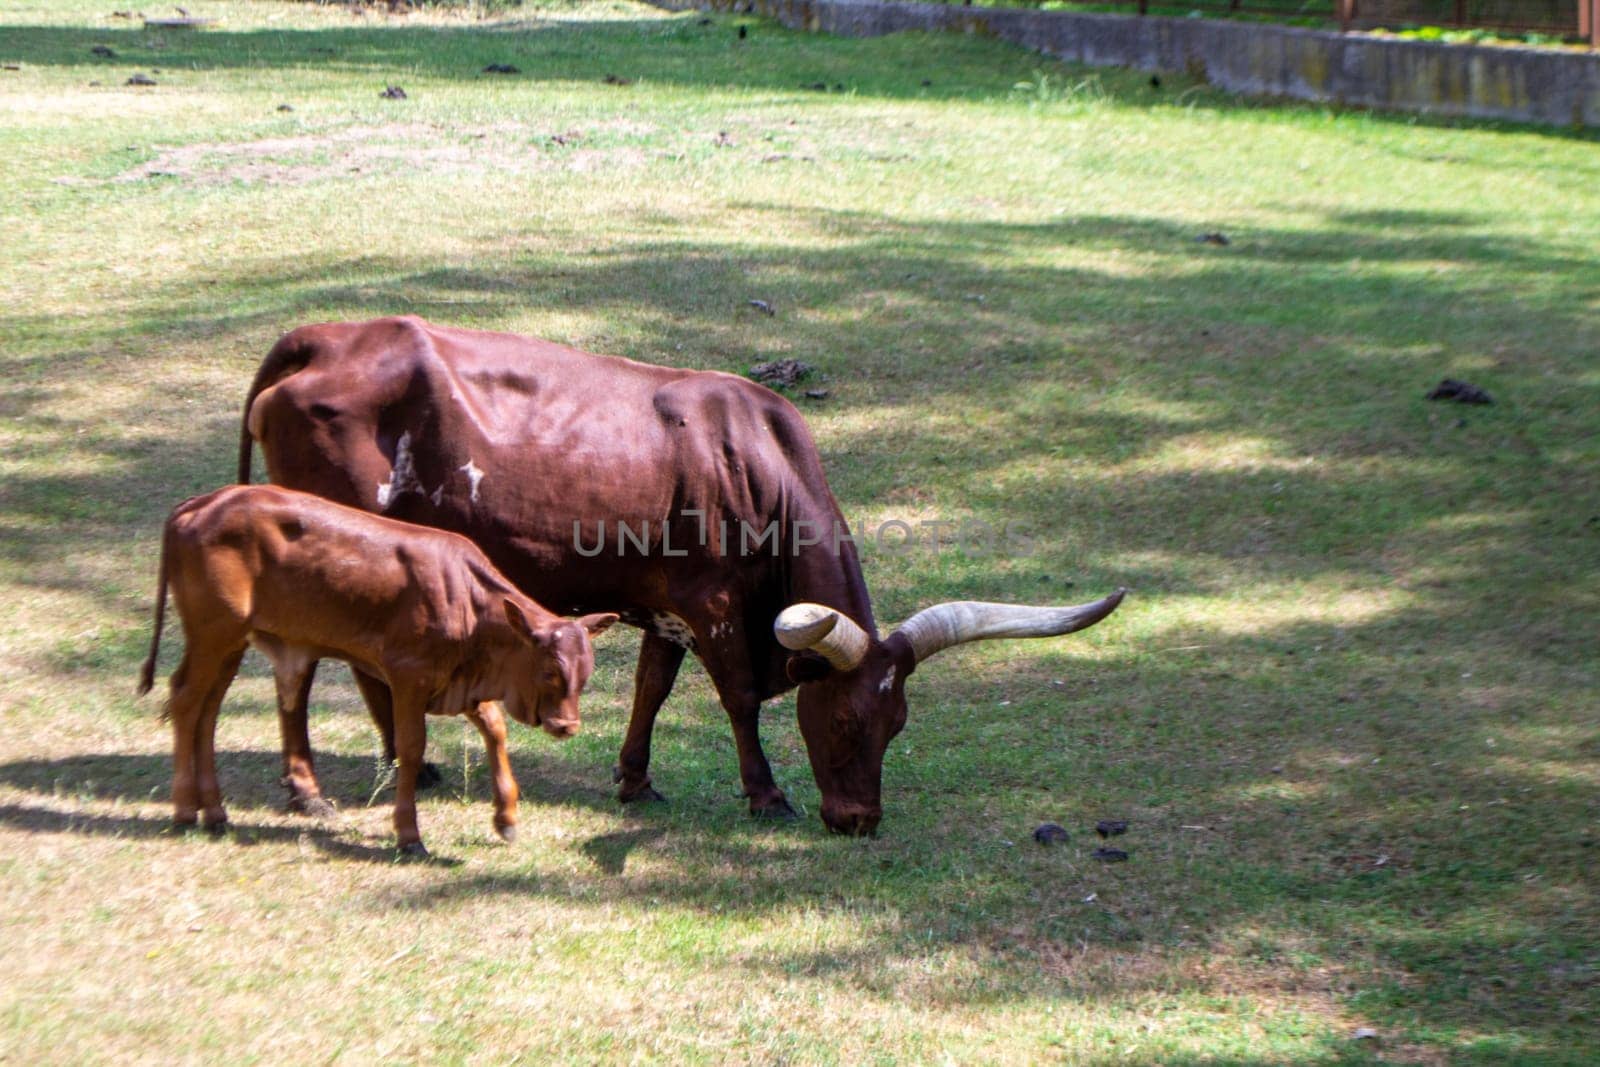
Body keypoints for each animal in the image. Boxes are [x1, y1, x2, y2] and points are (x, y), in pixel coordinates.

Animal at [139, 486, 617, 857]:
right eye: (550, 671)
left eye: (585, 673)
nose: (566, 726)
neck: (468, 603)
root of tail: (201, 504)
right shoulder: (409, 677)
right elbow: (411, 747)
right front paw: (409, 835)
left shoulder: (459, 682)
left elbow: (495, 730)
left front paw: (507, 818)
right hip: (214, 634)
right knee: (185, 700)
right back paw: (185, 810)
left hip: (232, 643)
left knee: (208, 711)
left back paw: (215, 812)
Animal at [243, 321, 1132, 838]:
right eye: (845, 721)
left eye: (898, 724)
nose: (859, 822)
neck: (756, 468)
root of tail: (323, 339)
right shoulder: (713, 606)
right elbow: (737, 698)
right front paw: (766, 794)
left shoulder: (666, 607)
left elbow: (652, 688)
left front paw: (635, 779)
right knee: (311, 657)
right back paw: (316, 787)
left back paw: (408, 759)